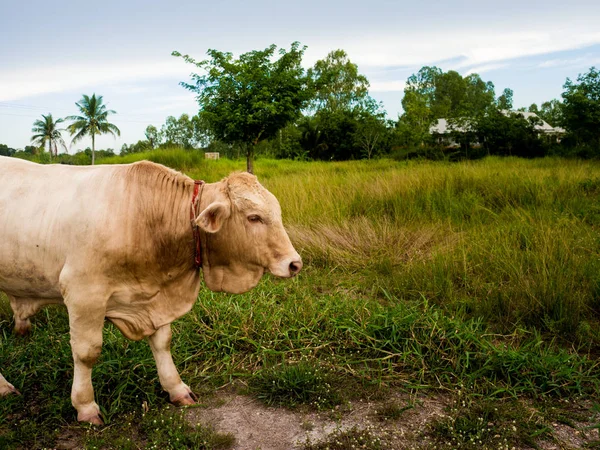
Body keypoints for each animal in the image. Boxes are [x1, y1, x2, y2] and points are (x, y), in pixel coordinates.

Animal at [0, 156, 302, 424]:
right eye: (254, 217)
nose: (294, 263)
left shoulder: (156, 297)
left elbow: (162, 342)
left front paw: (176, 388)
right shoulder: (83, 293)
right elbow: (87, 353)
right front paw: (85, 406)